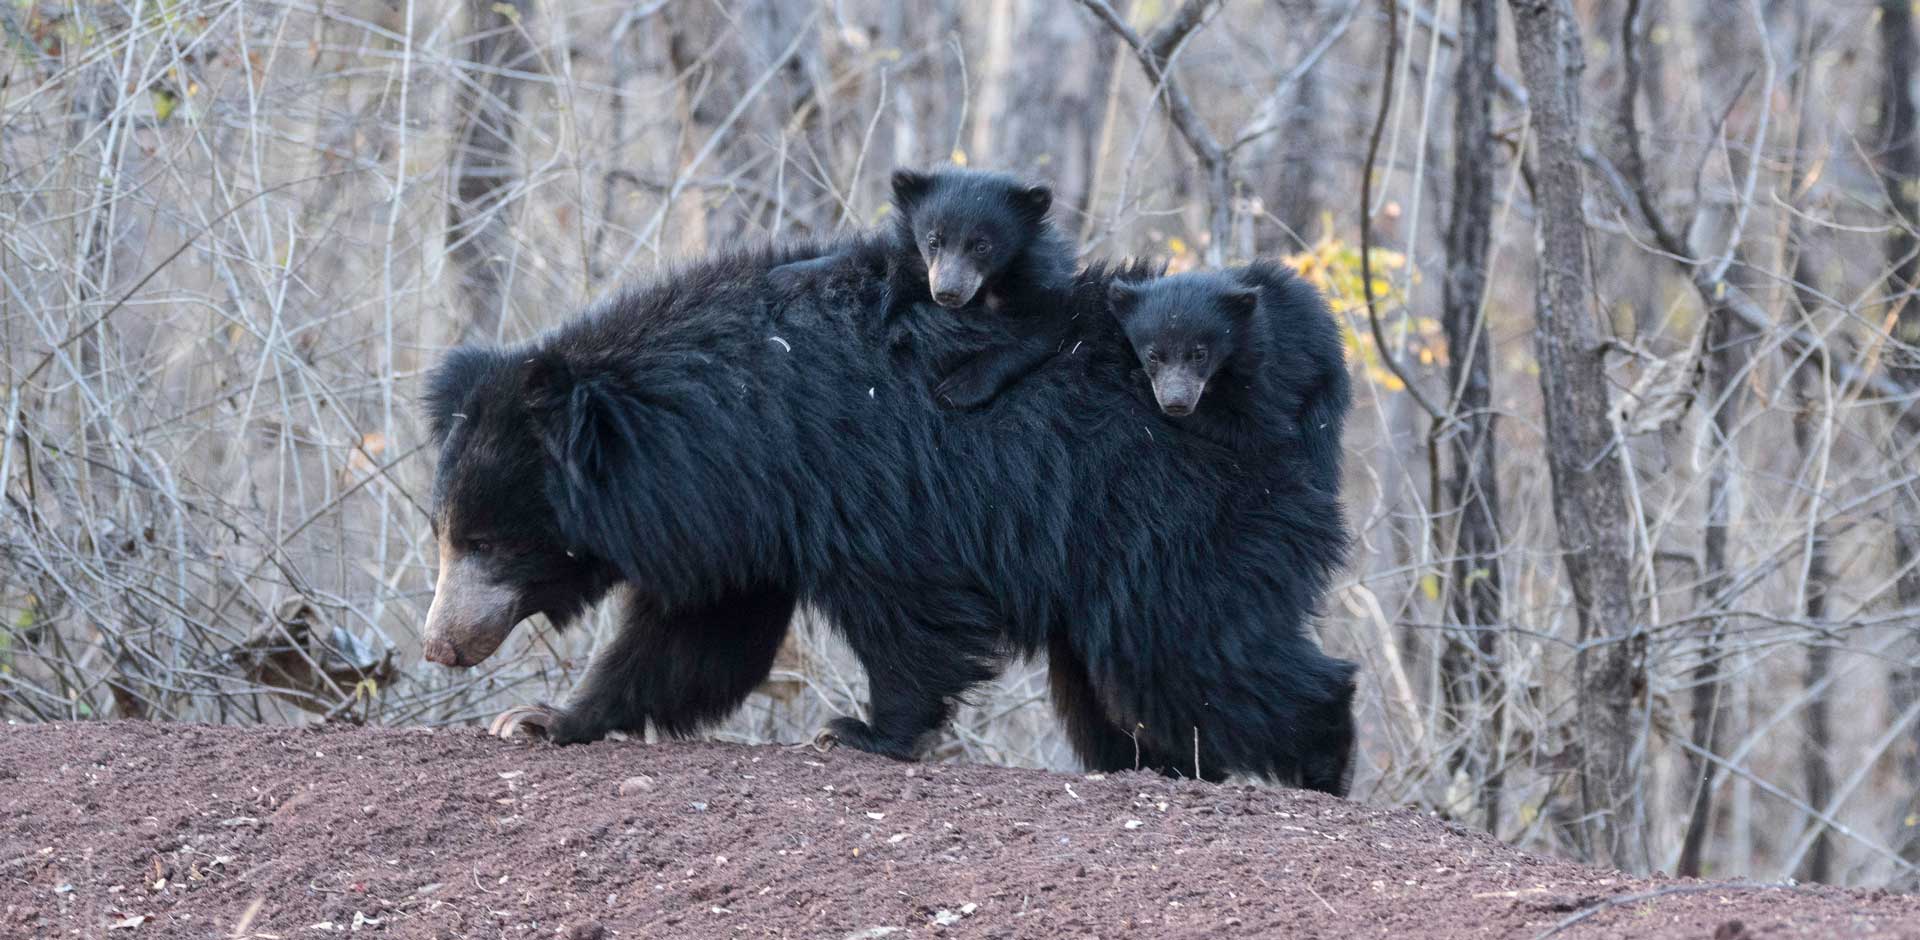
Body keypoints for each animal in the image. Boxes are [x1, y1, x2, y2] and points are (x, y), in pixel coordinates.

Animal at [775, 166, 1082, 408]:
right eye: (933, 240)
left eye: (982, 246)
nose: (947, 292)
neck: (986, 289)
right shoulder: (910, 260)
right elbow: (868, 259)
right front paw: (785, 274)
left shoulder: (1039, 284)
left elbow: (1042, 331)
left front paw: (957, 389)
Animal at [1105, 258, 1359, 489]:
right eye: (1153, 355)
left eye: (1200, 354)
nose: (1176, 403)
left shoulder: (1265, 372)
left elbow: (1260, 431)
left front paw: (1140, 384)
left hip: (1320, 386)